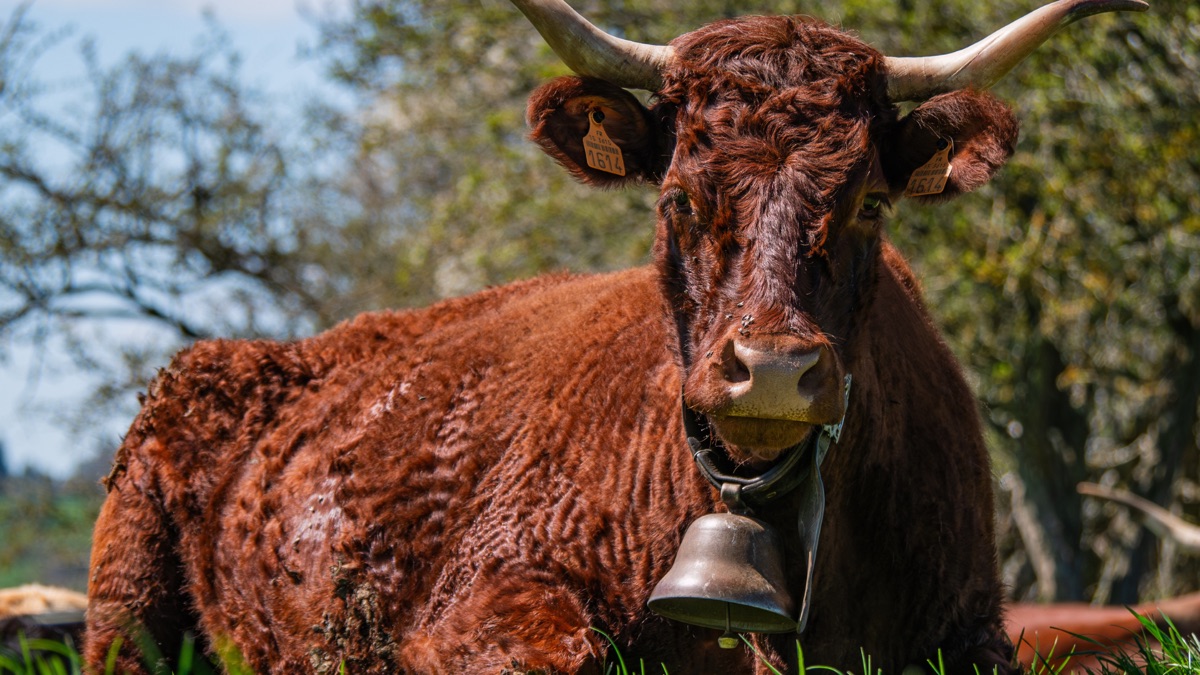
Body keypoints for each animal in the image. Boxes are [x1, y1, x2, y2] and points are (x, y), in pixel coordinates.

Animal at [83, 1, 1148, 673]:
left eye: (872, 203)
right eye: (678, 196)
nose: (773, 369)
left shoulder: (971, 625)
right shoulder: (485, 601)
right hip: (124, 604)